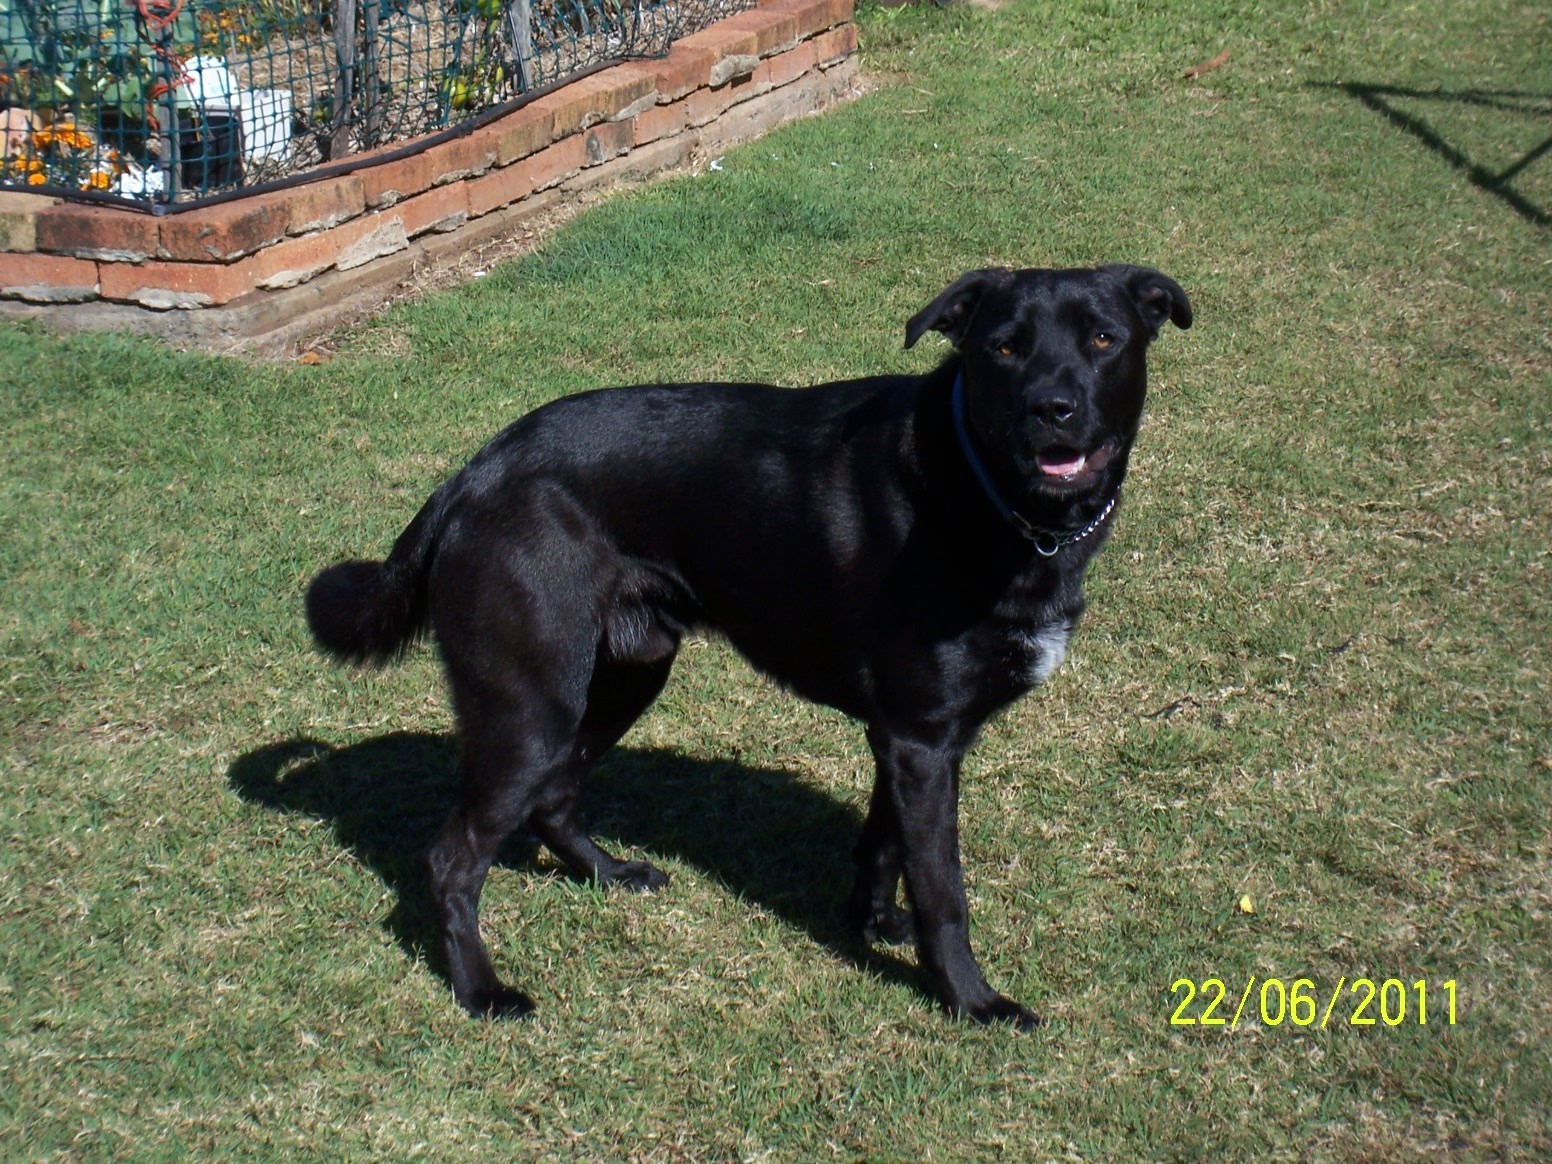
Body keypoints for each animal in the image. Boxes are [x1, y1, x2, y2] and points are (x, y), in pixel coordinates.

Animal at [305, 264, 1191, 1028]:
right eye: (1003, 347)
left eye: (1104, 339)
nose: (1054, 408)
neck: (983, 495)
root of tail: (469, 476)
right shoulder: (922, 738)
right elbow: (944, 892)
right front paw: (971, 1001)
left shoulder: (905, 738)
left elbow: (883, 844)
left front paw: (871, 924)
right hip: (529, 707)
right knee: (452, 859)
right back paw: (482, 991)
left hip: (624, 675)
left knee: (553, 798)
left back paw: (610, 874)